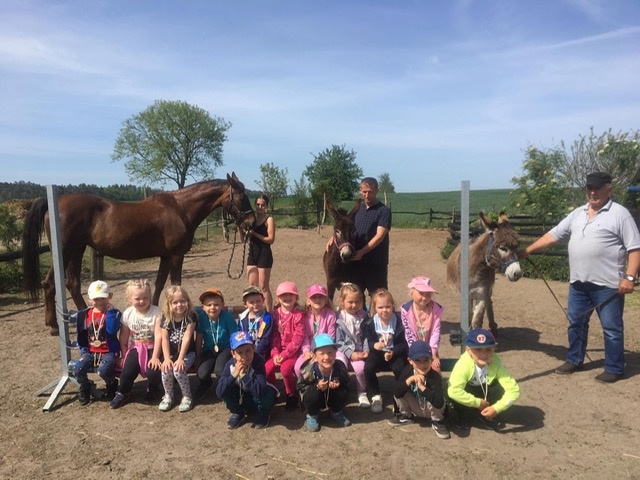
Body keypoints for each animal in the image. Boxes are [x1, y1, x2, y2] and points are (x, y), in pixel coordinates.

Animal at [24, 172, 255, 334]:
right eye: (242, 197)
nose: (251, 222)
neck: (180, 209)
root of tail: (53, 203)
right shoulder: (176, 255)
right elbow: (175, 284)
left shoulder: (165, 256)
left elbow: (160, 283)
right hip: (65, 251)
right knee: (51, 284)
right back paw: (55, 326)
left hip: (76, 251)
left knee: (71, 283)